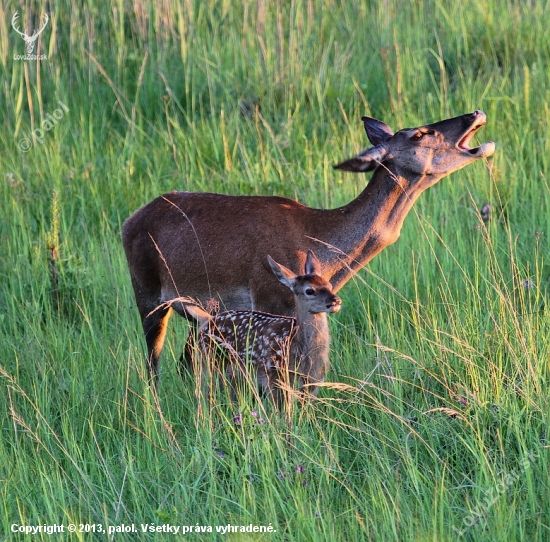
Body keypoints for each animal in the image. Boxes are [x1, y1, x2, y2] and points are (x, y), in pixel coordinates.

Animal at [124, 109, 496, 382]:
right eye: (418, 133)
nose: (475, 113)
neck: (323, 248)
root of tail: (129, 221)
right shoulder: (268, 298)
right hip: (148, 293)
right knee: (154, 363)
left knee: (183, 362)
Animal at [181, 251, 342, 404]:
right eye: (310, 290)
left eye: (329, 285)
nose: (336, 300)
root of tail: (207, 320)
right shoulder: (274, 376)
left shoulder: (314, 383)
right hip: (208, 360)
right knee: (203, 392)